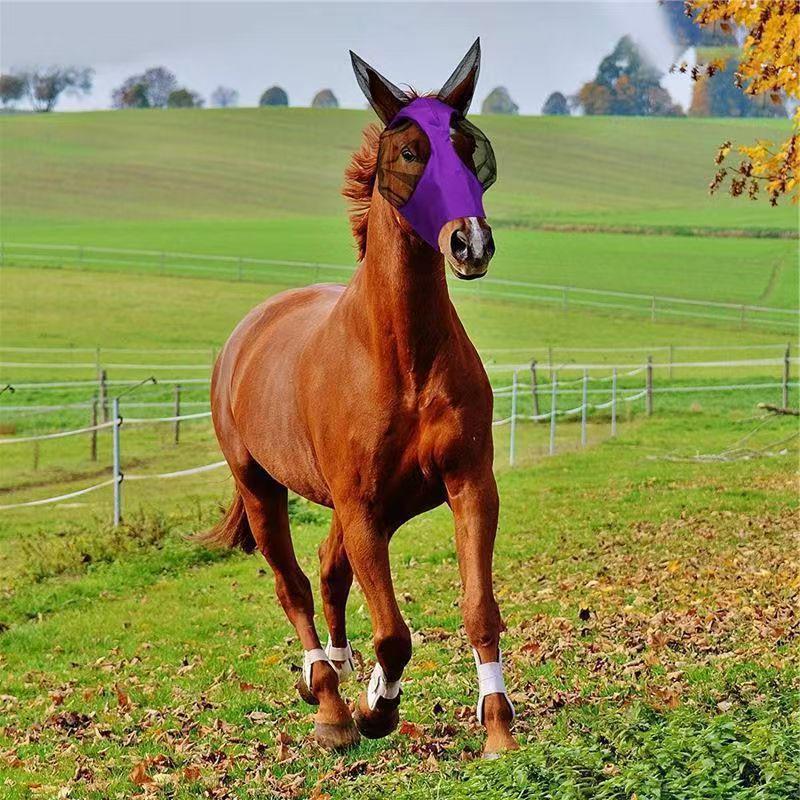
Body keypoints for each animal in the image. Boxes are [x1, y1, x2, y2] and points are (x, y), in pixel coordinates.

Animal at [203, 39, 518, 757]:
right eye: (409, 153)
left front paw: (498, 730)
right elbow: (394, 633)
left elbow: (478, 610)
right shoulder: (361, 506)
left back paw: (340, 674)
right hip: (265, 489)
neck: (402, 359)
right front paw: (377, 709)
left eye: (469, 148)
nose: (471, 242)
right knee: (294, 585)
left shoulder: (467, 485)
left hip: (374, 507)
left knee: (328, 571)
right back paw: (329, 702)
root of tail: (244, 335)